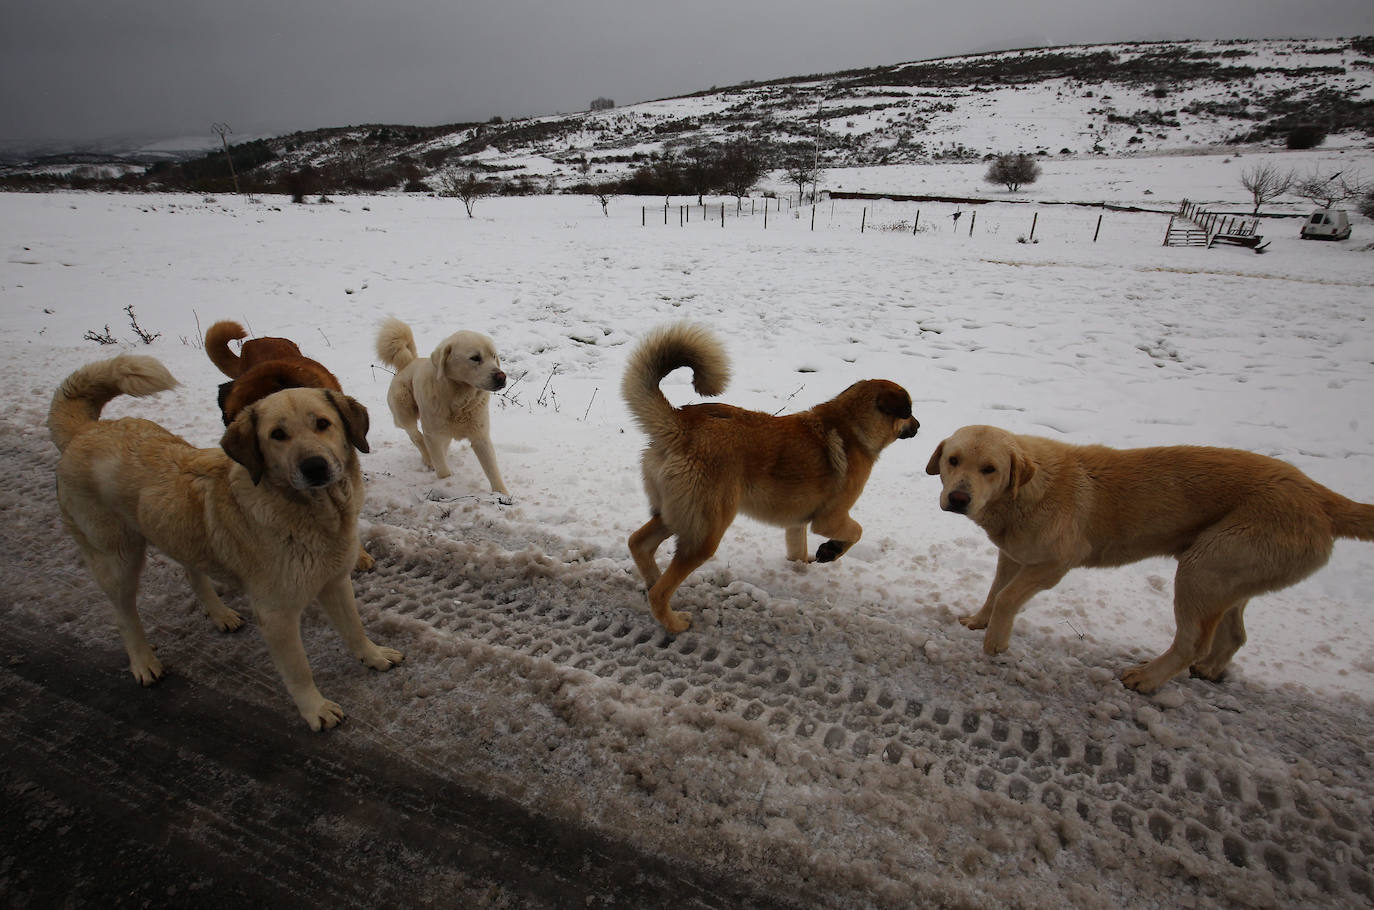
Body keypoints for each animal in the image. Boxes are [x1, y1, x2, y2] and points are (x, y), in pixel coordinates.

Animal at [49, 357, 401, 736]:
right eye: (277, 435)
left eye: (323, 424)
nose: (315, 467)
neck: (314, 515)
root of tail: (85, 431)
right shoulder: (276, 615)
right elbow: (299, 670)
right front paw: (315, 709)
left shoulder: (335, 582)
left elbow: (354, 628)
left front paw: (374, 656)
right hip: (117, 560)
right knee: (124, 615)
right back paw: (143, 661)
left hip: (181, 530)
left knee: (192, 571)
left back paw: (219, 614)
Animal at [376, 318, 511, 503]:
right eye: (475, 358)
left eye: (494, 356)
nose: (501, 377)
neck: (458, 399)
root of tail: (408, 362)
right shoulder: (433, 436)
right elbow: (442, 469)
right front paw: (446, 485)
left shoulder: (480, 436)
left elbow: (492, 470)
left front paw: (502, 495)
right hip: (404, 411)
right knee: (416, 436)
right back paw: (428, 459)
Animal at [923, 426, 1374, 692]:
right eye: (953, 460)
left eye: (990, 468)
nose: (958, 498)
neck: (1024, 493)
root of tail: (1318, 495)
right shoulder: (1014, 555)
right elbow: (995, 591)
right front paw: (978, 622)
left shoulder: (1055, 563)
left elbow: (1006, 598)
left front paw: (995, 644)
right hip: (1228, 575)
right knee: (1234, 636)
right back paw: (1210, 670)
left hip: (1201, 569)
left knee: (1193, 641)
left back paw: (1148, 677)